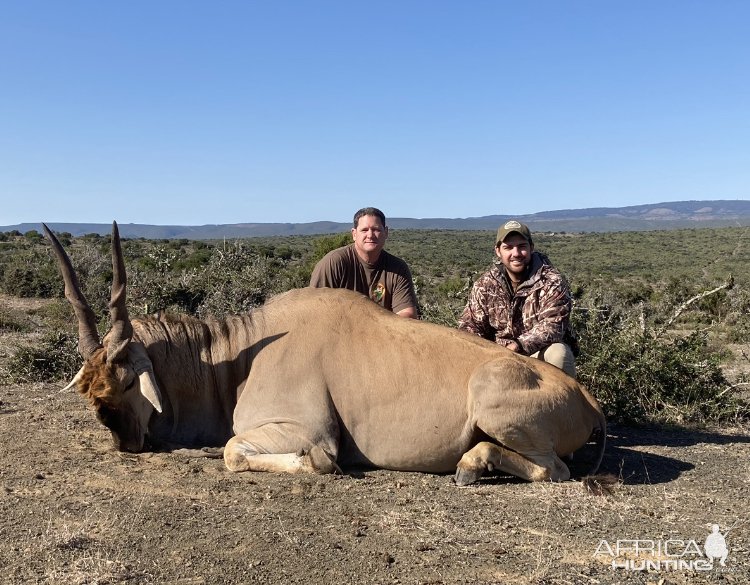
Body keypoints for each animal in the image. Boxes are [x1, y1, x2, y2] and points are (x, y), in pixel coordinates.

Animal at [44, 221, 608, 482]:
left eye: (125, 384)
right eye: (90, 393)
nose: (125, 444)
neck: (240, 357)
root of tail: (587, 399)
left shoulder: (305, 430)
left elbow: (238, 452)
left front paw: (313, 464)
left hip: (494, 400)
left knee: (555, 470)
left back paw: (472, 464)